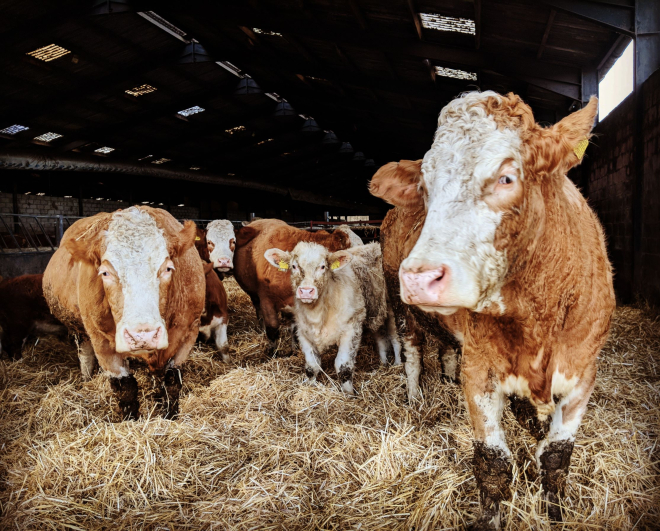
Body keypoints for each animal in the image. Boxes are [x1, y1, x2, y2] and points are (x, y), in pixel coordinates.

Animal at [43, 206, 204, 422]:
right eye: (105, 273)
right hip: (78, 329)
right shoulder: (101, 342)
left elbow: (171, 382)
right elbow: (125, 388)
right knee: (84, 354)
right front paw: (131, 422)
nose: (142, 335)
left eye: (168, 268)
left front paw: (169, 416)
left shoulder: (189, 332)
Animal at [232, 218, 356, 360]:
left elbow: (296, 329)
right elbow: (272, 328)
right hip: (254, 296)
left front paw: (295, 350)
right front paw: (272, 352)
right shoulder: (266, 300)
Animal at [264, 241, 400, 394]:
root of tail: (375, 245)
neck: (317, 315)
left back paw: (398, 365)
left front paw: (348, 394)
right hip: (375, 310)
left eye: (323, 266)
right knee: (380, 336)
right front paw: (309, 386)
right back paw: (383, 363)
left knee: (396, 340)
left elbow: (343, 367)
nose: (306, 291)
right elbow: (312, 367)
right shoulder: (303, 333)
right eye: (294, 266)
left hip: (393, 311)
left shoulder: (351, 328)